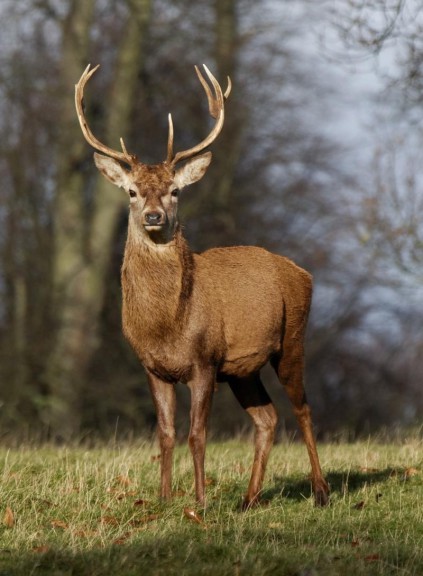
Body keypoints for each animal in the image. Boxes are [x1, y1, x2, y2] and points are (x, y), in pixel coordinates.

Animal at [74, 63, 330, 508]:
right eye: (132, 191)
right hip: (242, 369)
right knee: (267, 418)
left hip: (292, 338)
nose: (154, 216)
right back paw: (248, 499)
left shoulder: (204, 360)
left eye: (175, 190)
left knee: (303, 408)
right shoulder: (152, 367)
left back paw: (320, 491)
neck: (168, 325)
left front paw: (199, 501)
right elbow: (166, 434)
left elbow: (197, 434)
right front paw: (163, 500)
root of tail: (303, 273)